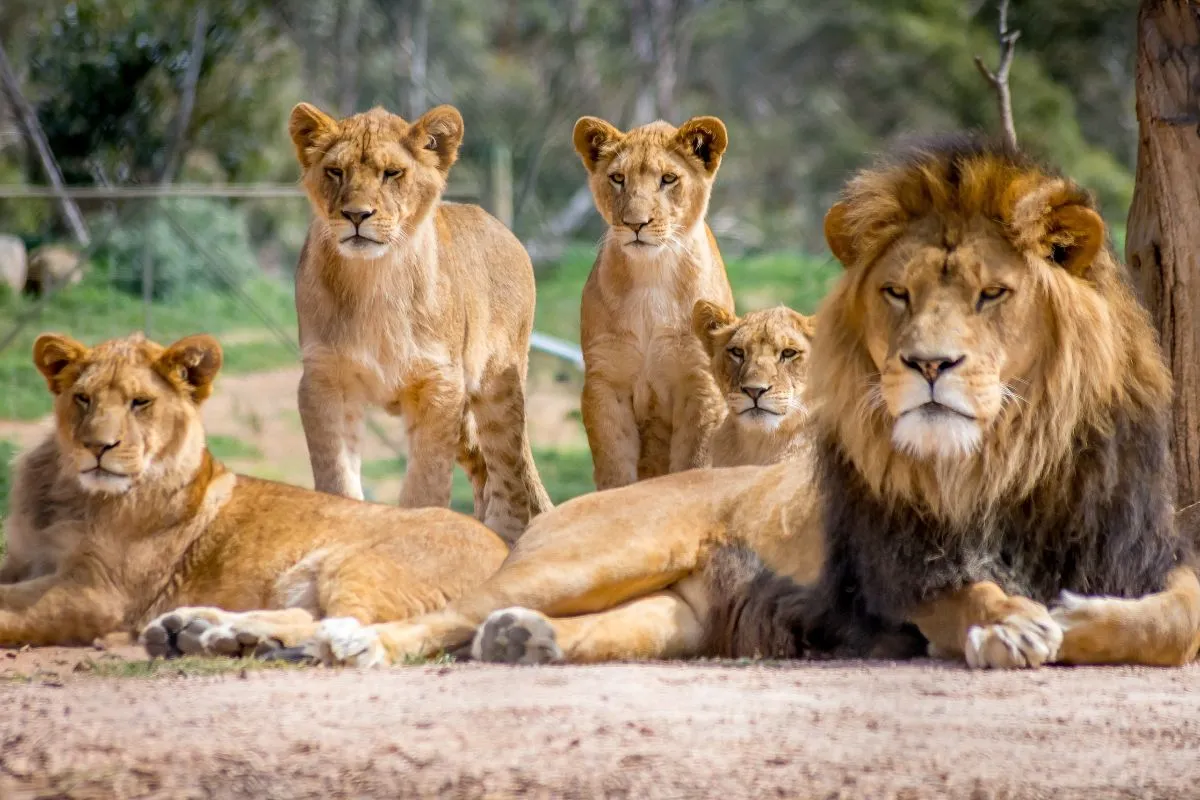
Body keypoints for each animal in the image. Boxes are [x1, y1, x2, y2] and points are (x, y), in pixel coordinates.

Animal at [0, 335, 506, 652]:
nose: (97, 446)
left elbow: (10, 609)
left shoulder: (98, 591)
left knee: (343, 623)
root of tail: (505, 550)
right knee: (310, 617)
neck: (70, 492)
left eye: (140, 403)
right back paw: (200, 630)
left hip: (362, 564)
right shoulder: (24, 559)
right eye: (82, 398)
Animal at [159, 136, 1200, 671]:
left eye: (993, 295)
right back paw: (270, 636)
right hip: (597, 552)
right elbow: (969, 590)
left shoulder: (1158, 565)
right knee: (420, 618)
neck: (1011, 460)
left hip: (667, 613)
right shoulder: (898, 572)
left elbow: (1166, 622)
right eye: (897, 294)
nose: (928, 365)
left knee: (498, 626)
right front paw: (1016, 621)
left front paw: (1061, 618)